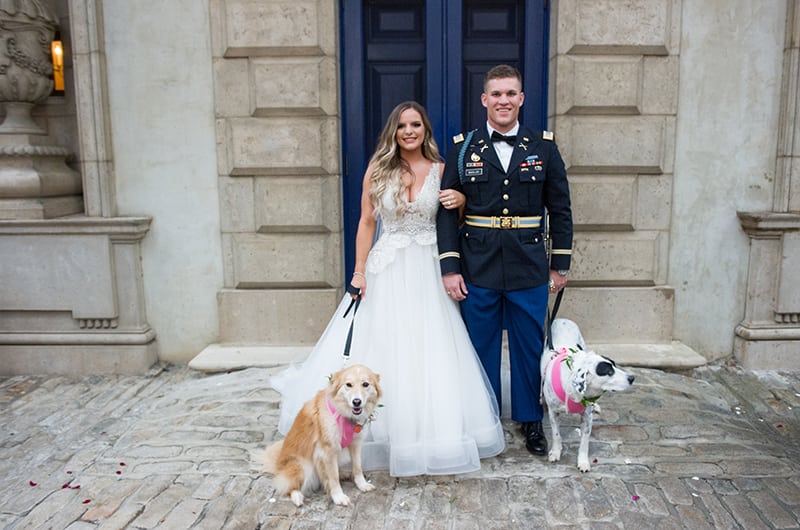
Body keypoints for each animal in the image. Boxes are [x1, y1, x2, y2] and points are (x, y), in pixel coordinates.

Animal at [540, 318, 636, 470]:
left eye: (615, 366)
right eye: (609, 371)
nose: (632, 378)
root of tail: (562, 320)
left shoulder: (587, 417)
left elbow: (584, 442)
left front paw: (583, 462)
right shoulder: (553, 413)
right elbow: (556, 435)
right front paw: (555, 452)